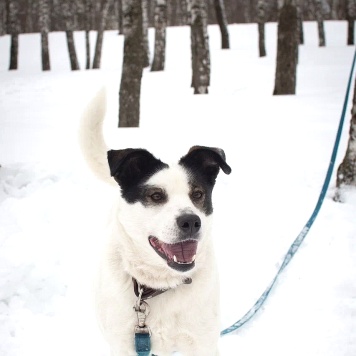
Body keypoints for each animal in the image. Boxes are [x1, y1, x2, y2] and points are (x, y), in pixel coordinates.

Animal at [78, 87, 231, 354]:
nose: (191, 222)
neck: (158, 286)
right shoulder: (123, 345)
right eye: (156, 195)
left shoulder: (203, 343)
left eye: (197, 194)